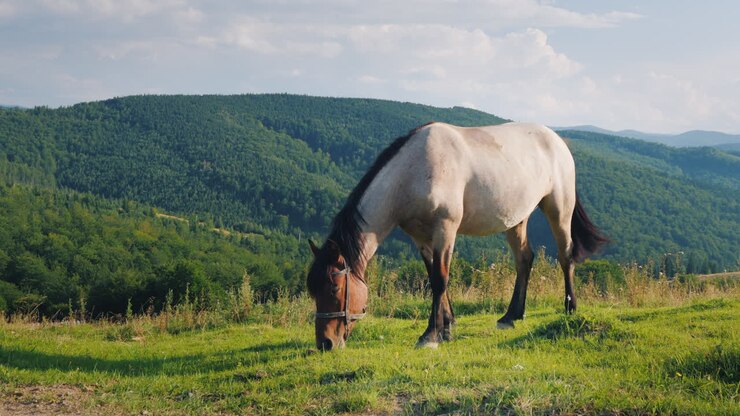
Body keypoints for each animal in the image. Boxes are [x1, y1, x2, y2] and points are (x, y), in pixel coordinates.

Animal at [307, 121, 608, 350]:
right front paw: (447, 328)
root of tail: (557, 140)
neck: (414, 170)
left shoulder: (445, 229)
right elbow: (435, 278)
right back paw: (511, 316)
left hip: (559, 208)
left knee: (565, 256)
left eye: (334, 288)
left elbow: (440, 280)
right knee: (524, 259)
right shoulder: (421, 238)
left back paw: (570, 307)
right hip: (516, 220)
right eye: (313, 290)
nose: (326, 343)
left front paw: (430, 335)